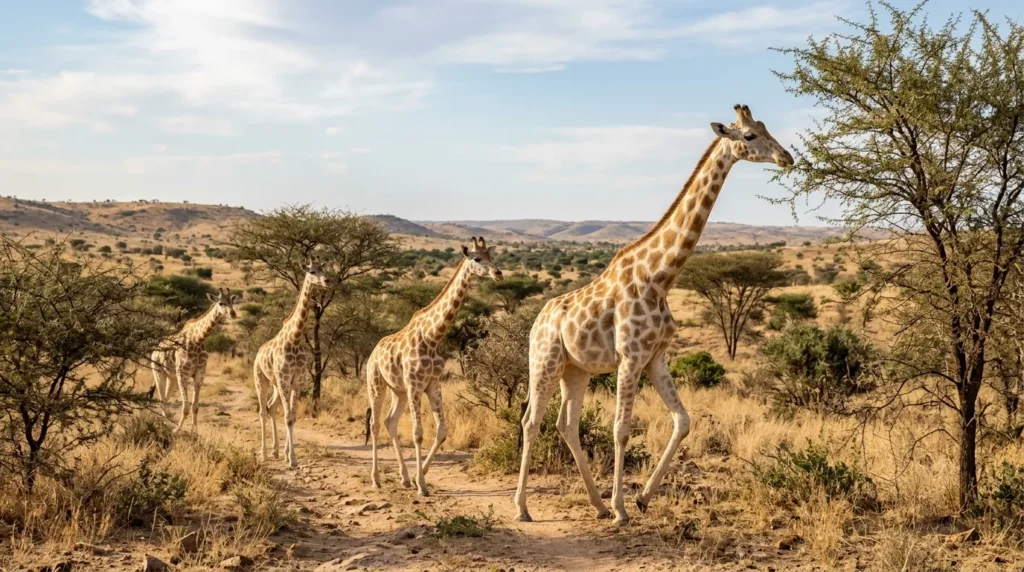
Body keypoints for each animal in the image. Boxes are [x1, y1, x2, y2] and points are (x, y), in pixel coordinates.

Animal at [151, 287, 239, 433]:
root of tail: (155, 349)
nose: (233, 314)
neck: (197, 340)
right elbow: (186, 407)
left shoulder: (199, 374)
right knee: (162, 399)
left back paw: (166, 423)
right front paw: (177, 431)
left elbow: (195, 407)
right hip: (158, 372)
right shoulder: (183, 374)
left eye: (232, 302)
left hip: (172, 377)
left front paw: (195, 433)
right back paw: (166, 426)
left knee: (166, 400)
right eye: (221, 303)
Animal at [252, 258, 329, 467]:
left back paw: (276, 451)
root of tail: (258, 353)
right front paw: (292, 460)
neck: (294, 338)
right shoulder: (285, 380)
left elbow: (292, 417)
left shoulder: (295, 381)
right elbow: (287, 417)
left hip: (276, 384)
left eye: (324, 269)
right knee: (262, 411)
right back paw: (263, 454)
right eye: (312, 271)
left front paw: (288, 455)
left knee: (271, 407)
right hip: (261, 380)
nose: (326, 281)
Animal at [365, 237, 503, 496]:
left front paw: (420, 476)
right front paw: (422, 485)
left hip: (398, 391)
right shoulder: (415, 385)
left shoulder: (432, 385)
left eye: (493, 257)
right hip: (376, 384)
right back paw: (376, 479)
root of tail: (373, 353)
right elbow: (418, 434)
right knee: (375, 424)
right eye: (477, 258)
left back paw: (404, 478)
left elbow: (441, 431)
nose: (498, 273)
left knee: (390, 422)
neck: (433, 337)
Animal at [514, 104, 793, 525]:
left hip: (575, 370)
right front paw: (622, 509)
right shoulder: (630, 358)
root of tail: (537, 320)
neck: (660, 277)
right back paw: (524, 508)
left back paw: (595, 504)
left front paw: (643, 498)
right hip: (544, 361)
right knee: (531, 421)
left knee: (567, 424)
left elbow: (683, 420)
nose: (787, 158)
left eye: (764, 127)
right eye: (748, 136)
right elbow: (621, 429)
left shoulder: (655, 356)